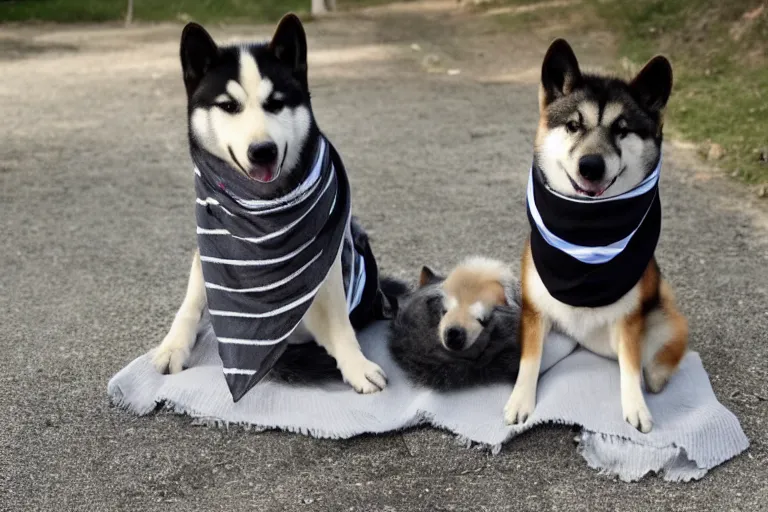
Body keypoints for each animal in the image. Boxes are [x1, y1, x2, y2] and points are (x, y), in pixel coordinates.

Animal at [504, 39, 688, 432]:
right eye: (574, 125)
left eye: (622, 129)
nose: (590, 166)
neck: (586, 233)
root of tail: (586, 342)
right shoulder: (534, 313)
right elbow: (529, 360)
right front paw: (520, 399)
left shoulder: (630, 321)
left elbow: (630, 367)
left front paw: (636, 408)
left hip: (663, 321)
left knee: (651, 362)